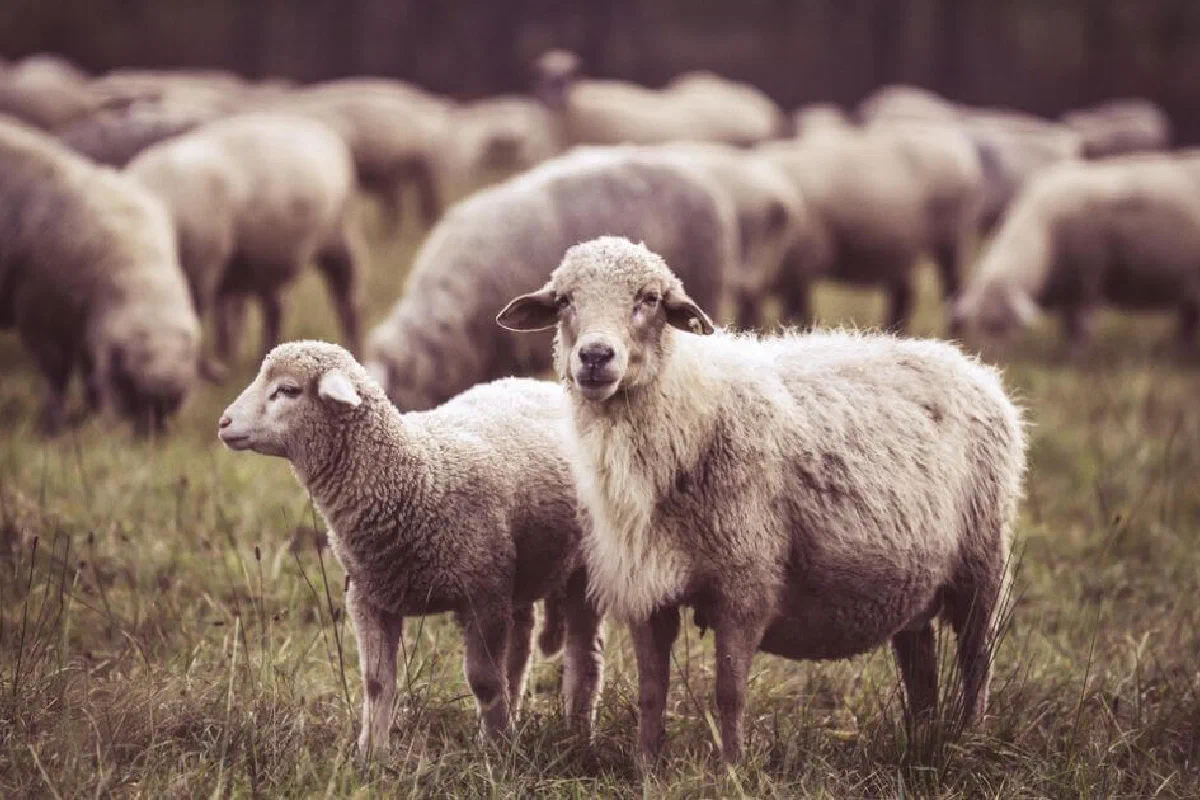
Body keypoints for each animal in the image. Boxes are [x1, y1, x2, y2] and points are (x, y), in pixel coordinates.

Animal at [0, 116, 201, 434]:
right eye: (129, 379)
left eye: (188, 354)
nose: (153, 437)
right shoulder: (38, 310)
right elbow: (56, 372)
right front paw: (55, 425)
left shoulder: (83, 321)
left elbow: (87, 371)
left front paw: (89, 413)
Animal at [217, 340, 604, 757]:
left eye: (288, 390)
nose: (223, 423)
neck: (414, 474)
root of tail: (540, 383)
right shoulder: (369, 598)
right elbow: (376, 682)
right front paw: (371, 755)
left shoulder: (482, 595)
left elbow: (484, 681)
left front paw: (496, 753)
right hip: (517, 572)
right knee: (519, 649)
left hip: (581, 569)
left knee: (583, 656)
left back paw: (577, 734)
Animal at [497, 235, 1025, 765]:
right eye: (565, 300)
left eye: (649, 299)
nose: (595, 356)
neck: (683, 414)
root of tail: (970, 366)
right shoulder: (649, 584)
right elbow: (652, 690)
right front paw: (646, 764)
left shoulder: (746, 582)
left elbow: (729, 692)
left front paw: (731, 768)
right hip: (916, 580)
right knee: (921, 671)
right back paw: (923, 741)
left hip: (982, 561)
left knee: (977, 659)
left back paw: (971, 738)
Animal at [757, 121, 984, 331]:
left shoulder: (799, 273)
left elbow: (797, 317)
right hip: (900, 250)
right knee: (906, 294)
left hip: (952, 240)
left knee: (953, 289)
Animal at [951, 156, 1200, 348]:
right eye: (976, 324)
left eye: (1000, 325)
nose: (986, 356)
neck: (1044, 234)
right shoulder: (1069, 286)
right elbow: (1069, 324)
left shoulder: (1087, 279)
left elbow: (1080, 326)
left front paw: (1075, 356)